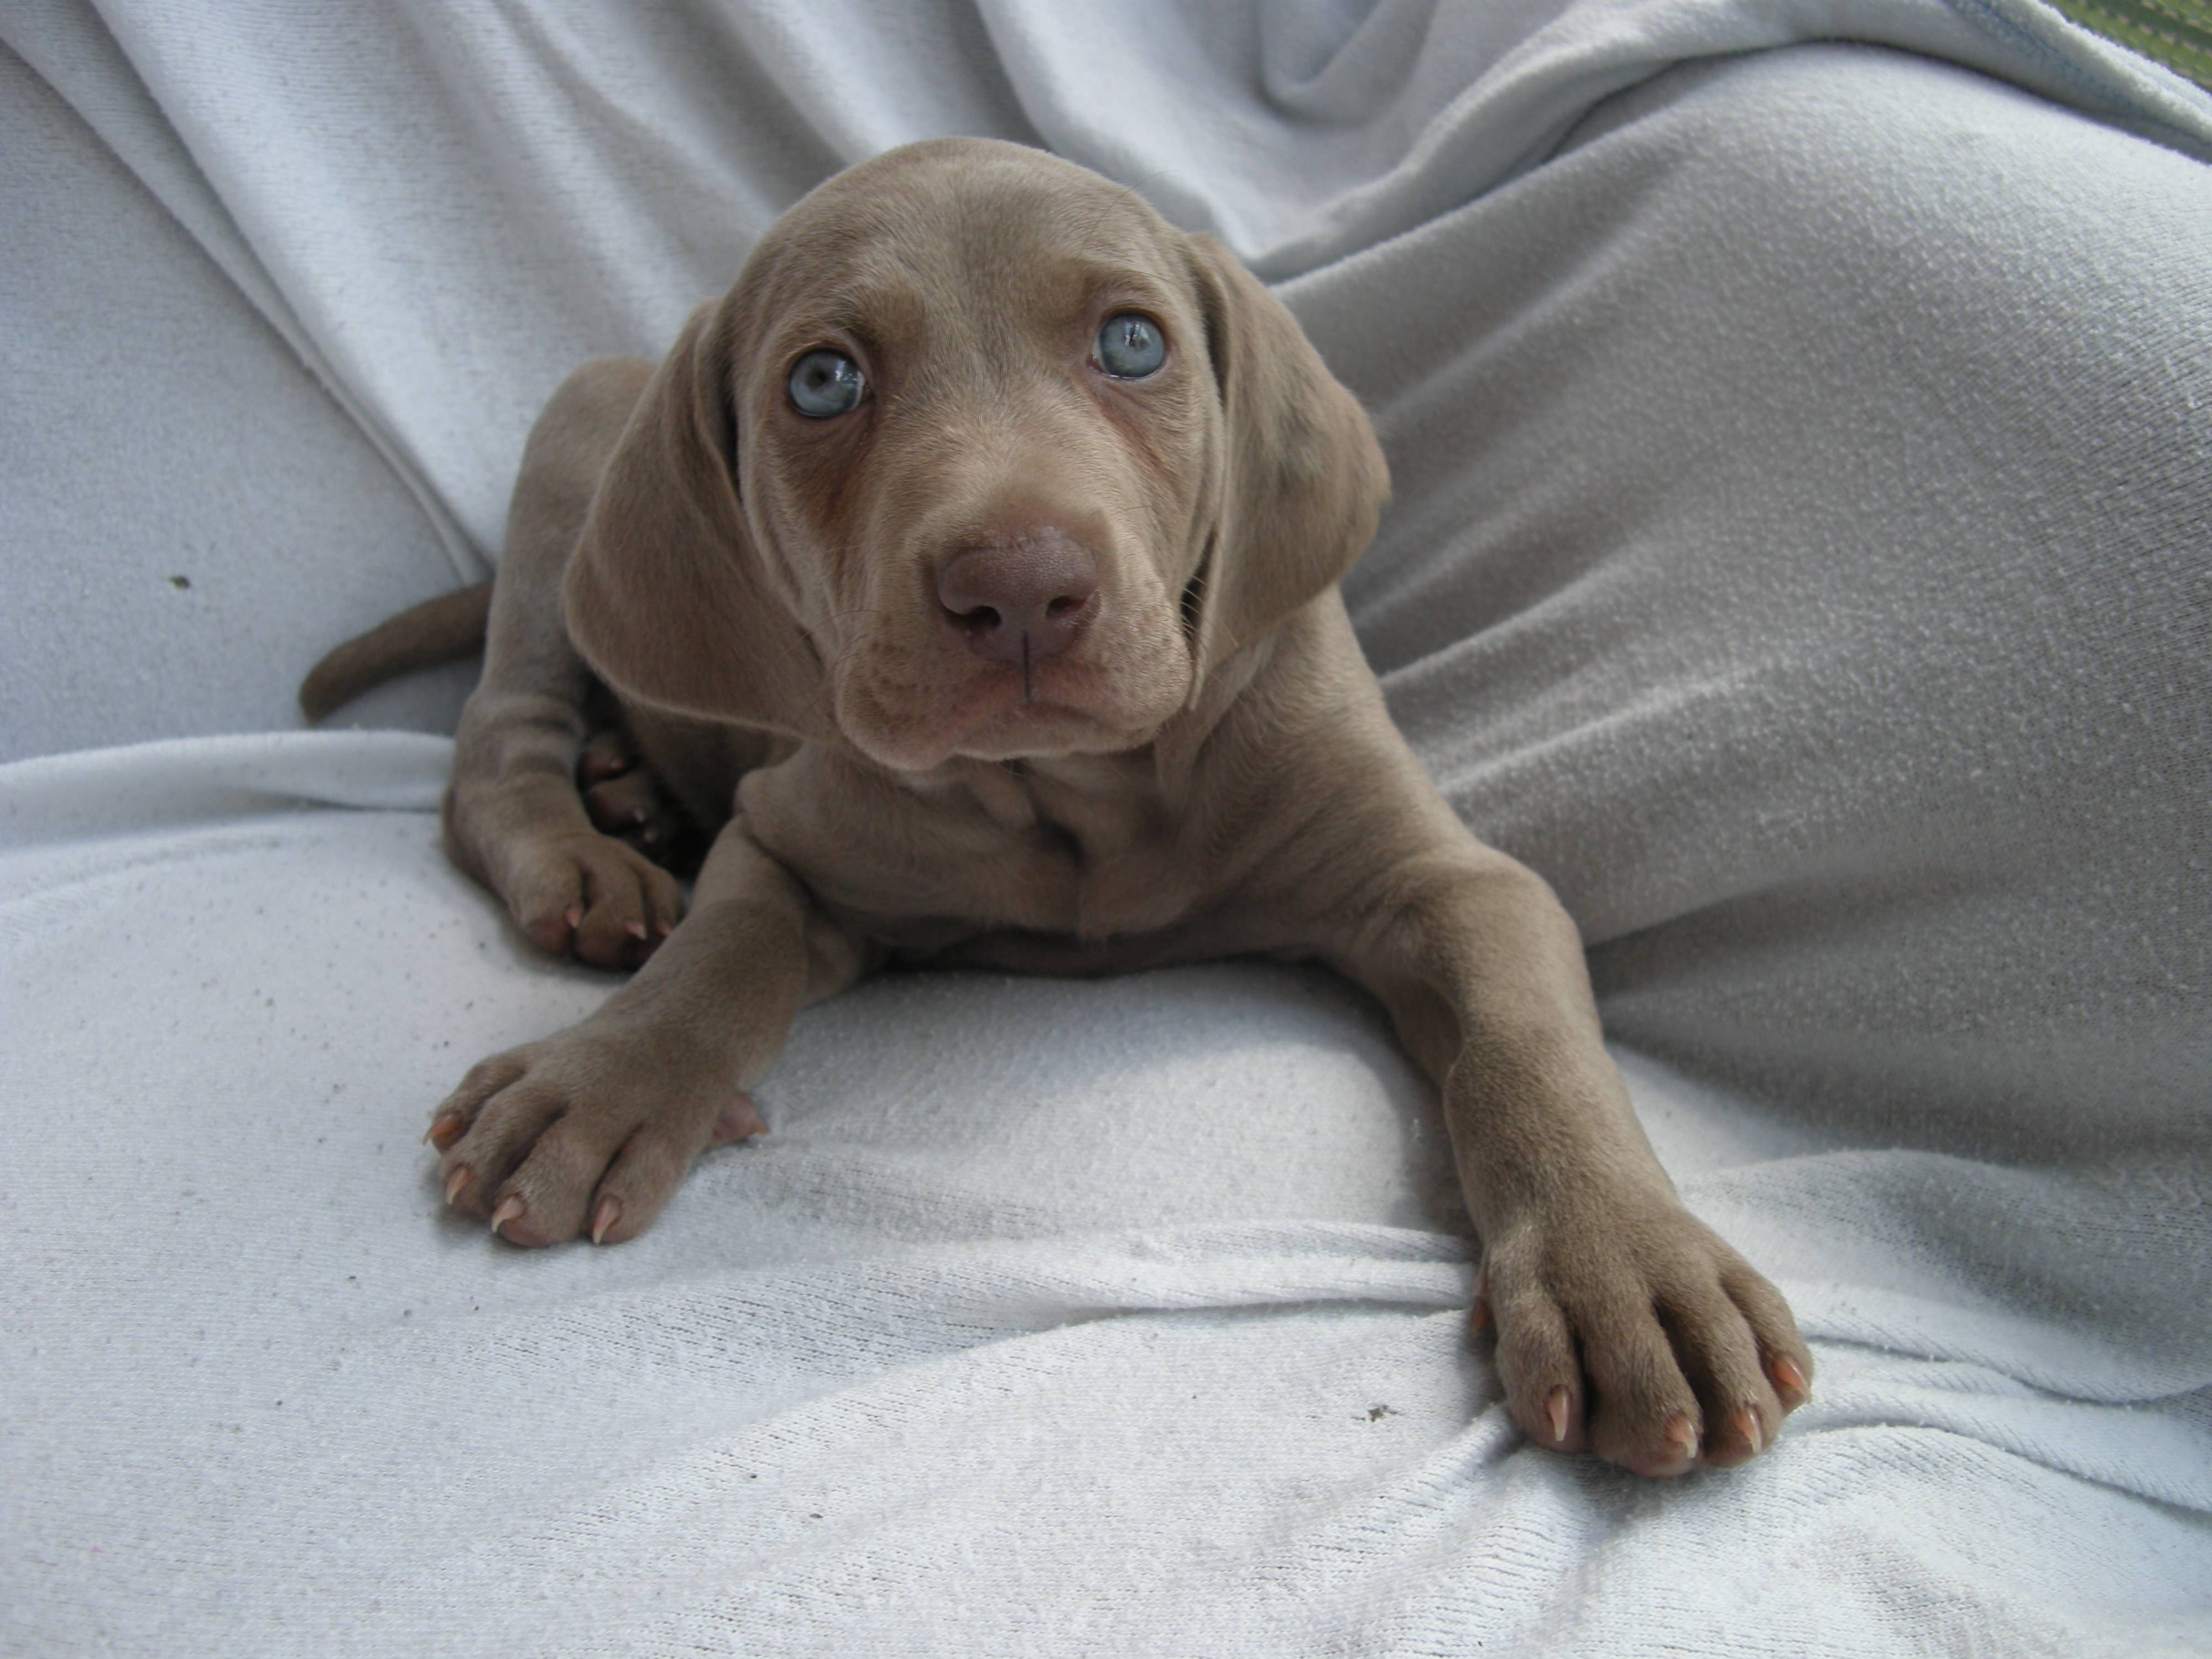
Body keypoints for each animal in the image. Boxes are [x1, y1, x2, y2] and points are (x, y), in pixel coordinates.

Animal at [303, 137, 1805, 1478]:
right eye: (823, 379)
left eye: (1132, 346)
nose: (1016, 583)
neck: (1081, 796)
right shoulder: (789, 837)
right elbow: (718, 957)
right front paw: (605, 1078)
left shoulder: (1444, 881)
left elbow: (1521, 1042)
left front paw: (1626, 1265)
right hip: (569, 460)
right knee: (495, 743)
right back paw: (586, 857)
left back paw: (630, 794)